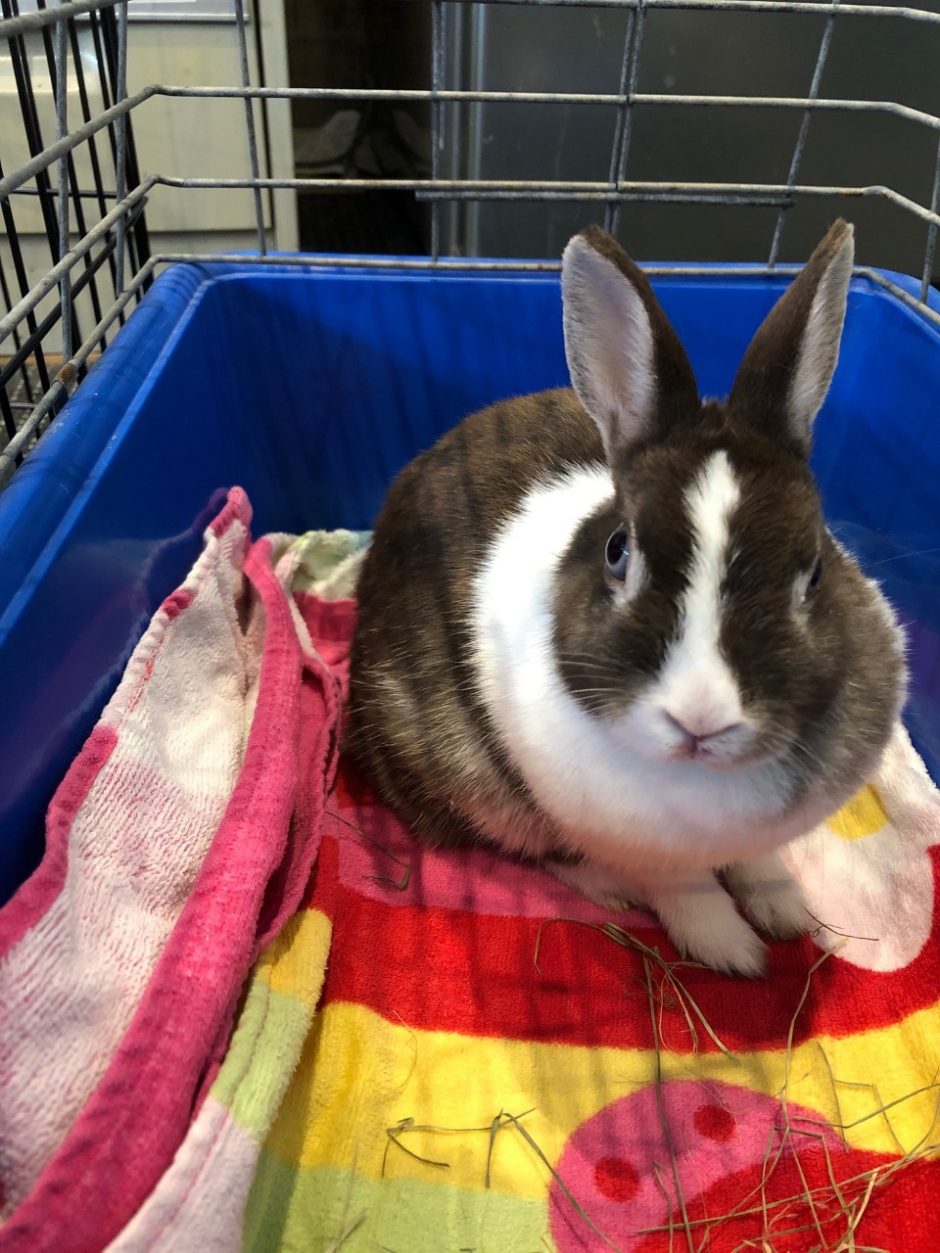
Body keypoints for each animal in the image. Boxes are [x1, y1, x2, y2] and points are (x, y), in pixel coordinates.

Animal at [345, 219, 907, 976]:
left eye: (814, 569)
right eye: (619, 549)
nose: (703, 719)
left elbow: (756, 861)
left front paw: (786, 909)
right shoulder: (632, 842)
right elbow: (683, 887)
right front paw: (733, 951)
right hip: (464, 774)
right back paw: (610, 888)